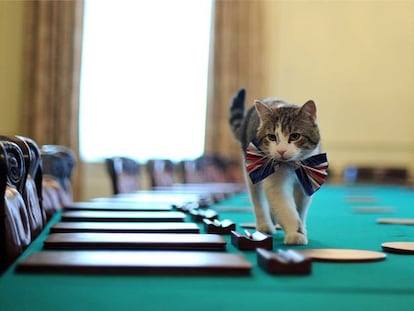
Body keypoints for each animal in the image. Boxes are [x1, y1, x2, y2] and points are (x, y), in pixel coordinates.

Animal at [228, 88, 328, 246]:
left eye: (295, 136)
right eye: (272, 137)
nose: (281, 151)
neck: (292, 167)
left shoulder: (306, 180)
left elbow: (300, 208)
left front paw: (301, 228)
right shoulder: (274, 181)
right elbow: (285, 207)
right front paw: (295, 233)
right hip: (252, 168)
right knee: (258, 199)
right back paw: (265, 224)